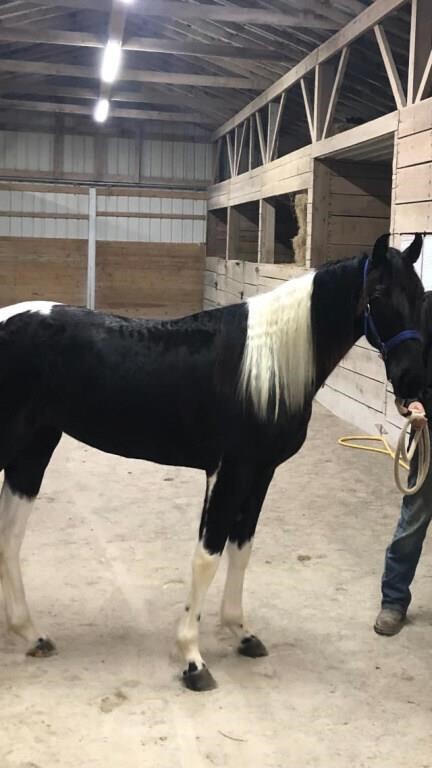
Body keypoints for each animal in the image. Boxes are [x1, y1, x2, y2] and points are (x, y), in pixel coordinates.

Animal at [0, 232, 426, 688]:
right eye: (378, 294)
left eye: (420, 295)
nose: (412, 380)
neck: (265, 368)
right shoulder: (229, 471)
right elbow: (207, 556)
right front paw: (192, 658)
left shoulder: (260, 473)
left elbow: (242, 549)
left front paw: (242, 633)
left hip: (34, 449)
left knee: (9, 537)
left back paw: (32, 634)